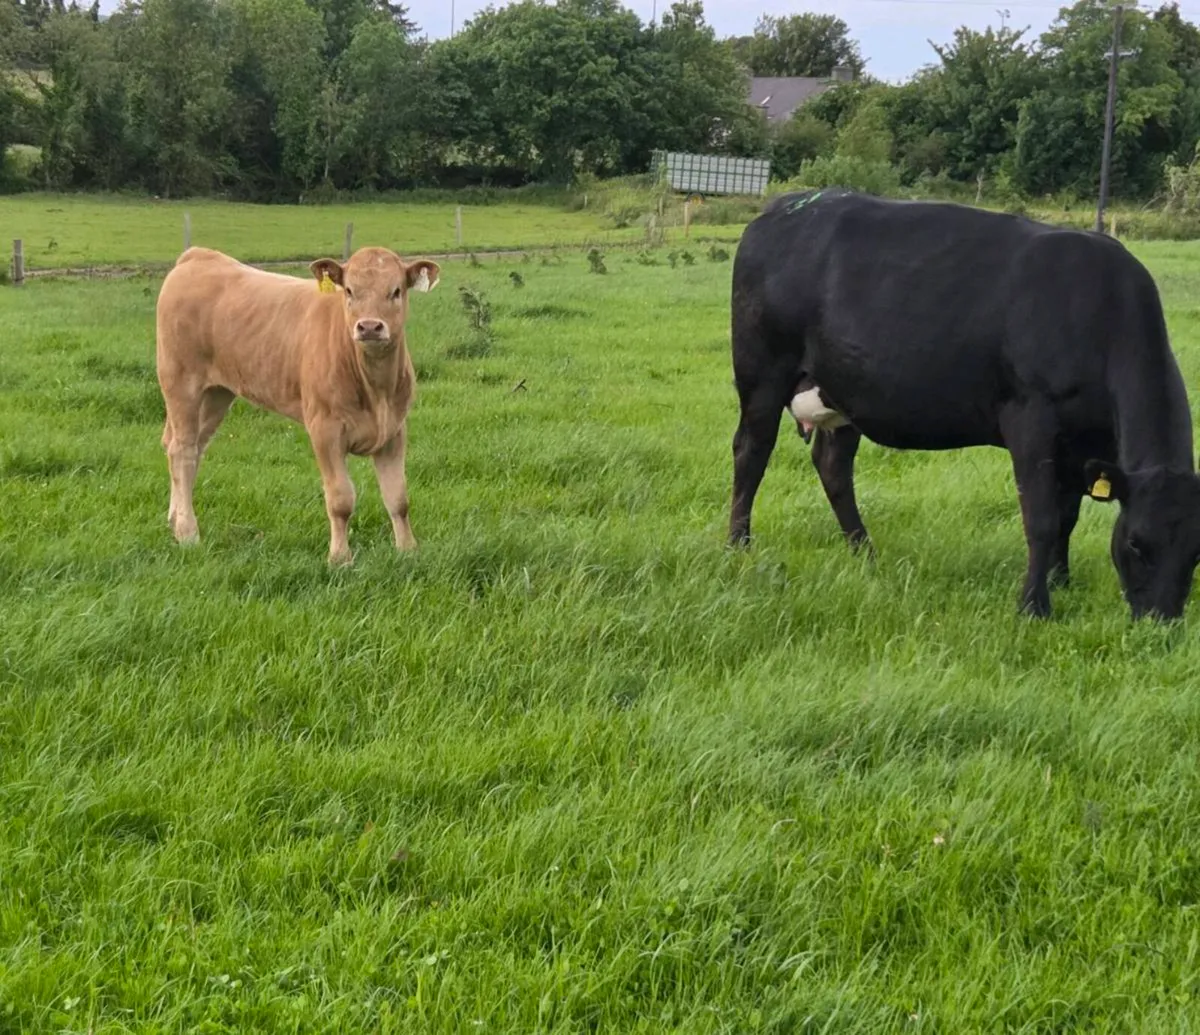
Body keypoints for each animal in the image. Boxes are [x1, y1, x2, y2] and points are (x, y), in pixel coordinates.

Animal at [155, 245, 440, 564]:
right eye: (349, 291)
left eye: (396, 291)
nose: (369, 327)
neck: (376, 389)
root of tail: (198, 255)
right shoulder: (325, 429)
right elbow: (340, 499)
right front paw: (340, 558)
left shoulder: (394, 429)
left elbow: (398, 498)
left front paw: (408, 551)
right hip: (181, 383)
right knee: (181, 449)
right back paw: (187, 532)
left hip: (217, 393)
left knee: (192, 448)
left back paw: (175, 519)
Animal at [729, 187, 1200, 620]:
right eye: (1136, 543)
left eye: (1195, 555)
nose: (1162, 621)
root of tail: (786, 205)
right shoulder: (1031, 418)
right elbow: (1042, 518)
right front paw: (1035, 606)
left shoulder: (1083, 444)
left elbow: (1068, 515)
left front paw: (1060, 580)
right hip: (763, 372)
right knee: (752, 452)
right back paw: (739, 547)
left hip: (842, 388)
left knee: (833, 466)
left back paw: (865, 554)